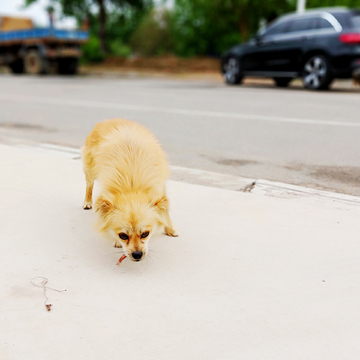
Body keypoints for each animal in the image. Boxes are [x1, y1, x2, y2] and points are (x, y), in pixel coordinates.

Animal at [81, 118, 178, 262]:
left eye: (145, 234)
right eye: (123, 236)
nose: (137, 254)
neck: (132, 186)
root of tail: (108, 120)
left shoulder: (161, 190)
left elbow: (165, 211)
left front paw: (170, 227)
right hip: (90, 169)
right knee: (89, 184)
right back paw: (87, 202)